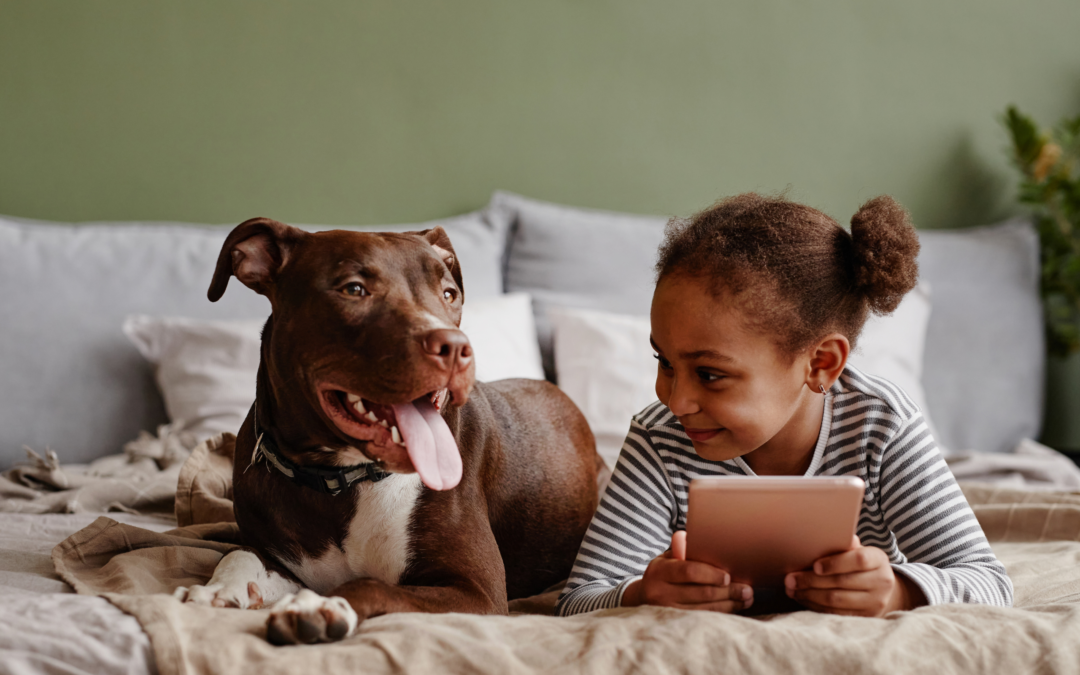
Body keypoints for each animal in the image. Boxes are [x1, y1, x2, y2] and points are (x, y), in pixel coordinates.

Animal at [172, 218, 604, 643]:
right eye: (354, 289)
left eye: (449, 294)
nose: (456, 347)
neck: (337, 480)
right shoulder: (279, 557)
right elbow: (238, 554)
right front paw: (218, 590)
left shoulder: (476, 591)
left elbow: (371, 584)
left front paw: (320, 606)